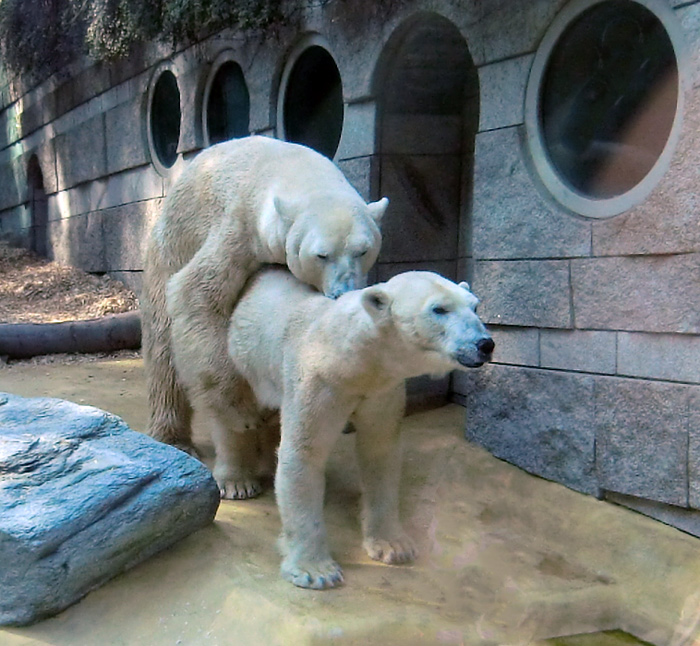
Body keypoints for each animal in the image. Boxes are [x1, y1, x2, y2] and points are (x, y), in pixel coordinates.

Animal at [139, 138, 386, 470]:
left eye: (363, 250)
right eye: (321, 255)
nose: (341, 291)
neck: (292, 169)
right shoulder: (240, 227)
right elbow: (197, 294)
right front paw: (242, 412)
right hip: (166, 254)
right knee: (164, 353)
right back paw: (174, 438)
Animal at [226, 266, 498, 588]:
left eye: (475, 306)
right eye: (439, 309)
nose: (485, 344)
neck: (352, 359)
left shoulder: (382, 390)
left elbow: (379, 451)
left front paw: (394, 546)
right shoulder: (318, 382)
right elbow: (304, 453)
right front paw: (315, 570)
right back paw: (237, 479)